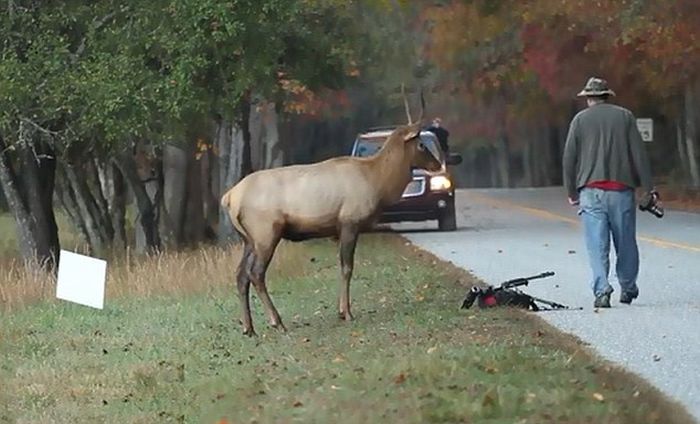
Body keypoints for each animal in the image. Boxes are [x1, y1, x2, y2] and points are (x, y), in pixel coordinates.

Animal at [221, 88, 440, 334]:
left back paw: (249, 328)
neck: (378, 182)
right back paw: (277, 321)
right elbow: (347, 267)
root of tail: (229, 198)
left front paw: (341, 310)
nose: (437, 165)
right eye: (421, 145)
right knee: (256, 273)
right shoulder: (349, 222)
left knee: (240, 275)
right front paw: (347, 313)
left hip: (248, 239)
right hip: (266, 232)